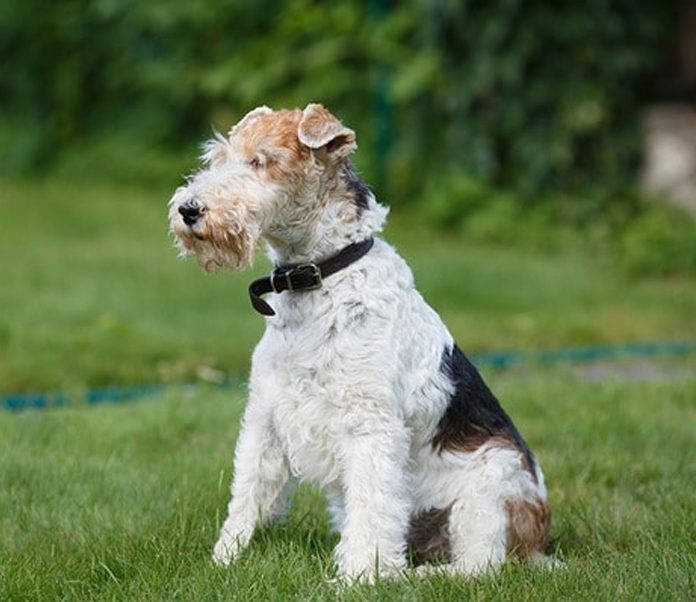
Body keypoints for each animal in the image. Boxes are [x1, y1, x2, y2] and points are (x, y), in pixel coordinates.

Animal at [169, 104, 556, 580]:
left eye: (261, 161)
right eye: (218, 157)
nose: (189, 210)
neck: (321, 275)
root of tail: (539, 544)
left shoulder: (370, 425)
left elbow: (372, 509)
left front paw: (357, 579)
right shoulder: (266, 416)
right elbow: (247, 495)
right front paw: (223, 561)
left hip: (489, 489)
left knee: (479, 566)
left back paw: (413, 575)